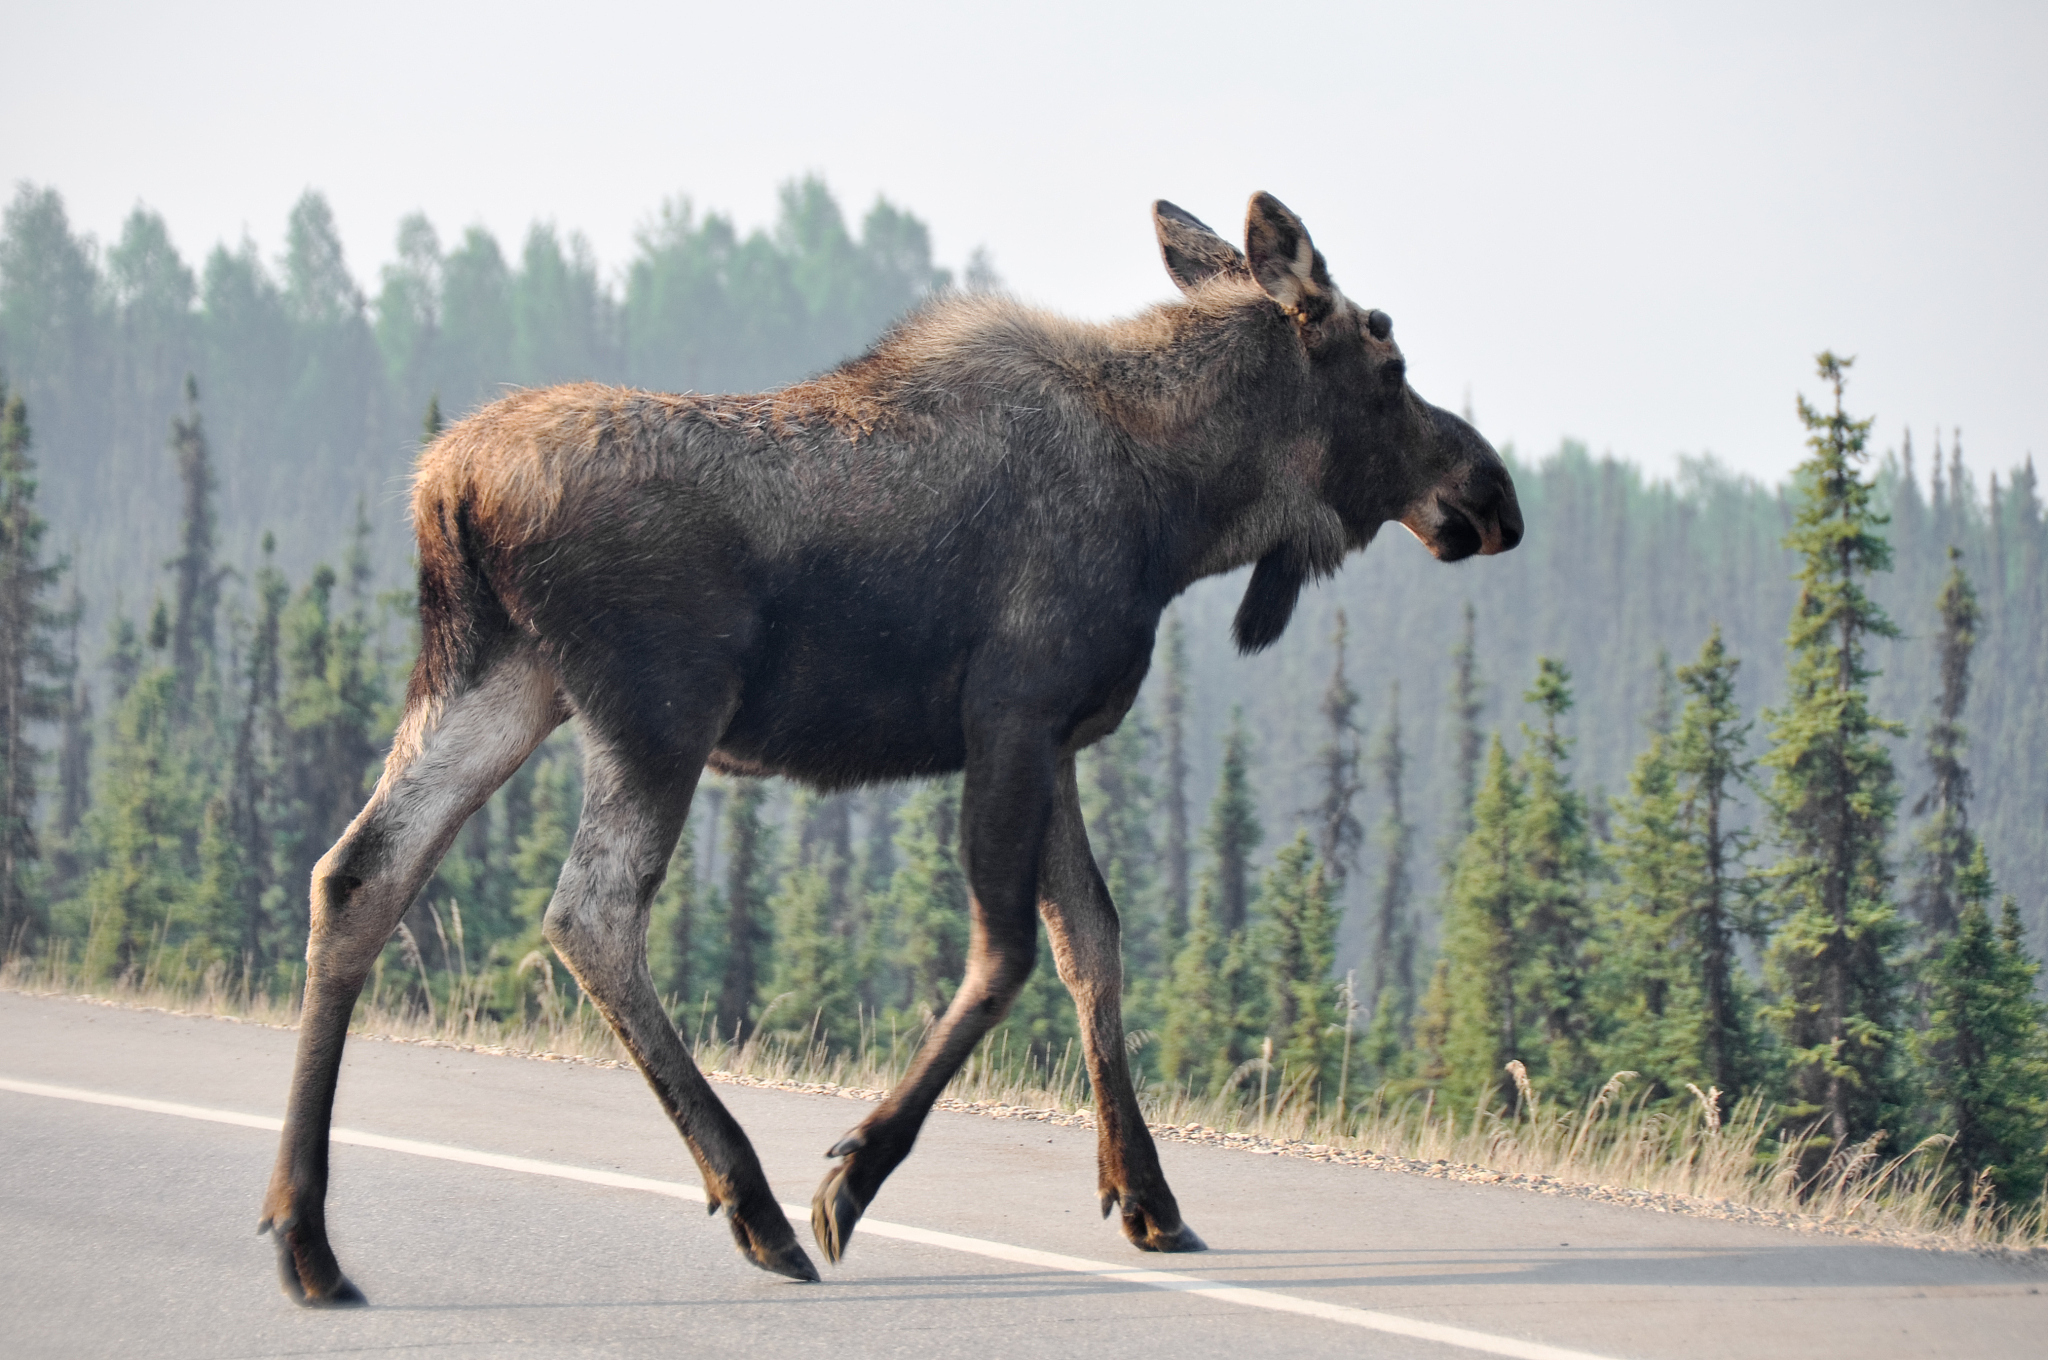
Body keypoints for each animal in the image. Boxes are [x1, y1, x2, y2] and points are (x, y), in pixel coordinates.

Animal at [259, 191, 1523, 1302]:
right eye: (1387, 357)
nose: (1494, 494)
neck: (1183, 506)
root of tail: (447, 488)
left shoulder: (1057, 738)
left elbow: (1092, 943)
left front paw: (1147, 1196)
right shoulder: (1009, 714)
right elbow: (1005, 953)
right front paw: (851, 1175)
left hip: (496, 681)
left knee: (357, 874)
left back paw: (307, 1237)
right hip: (657, 708)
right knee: (589, 914)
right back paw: (755, 1202)